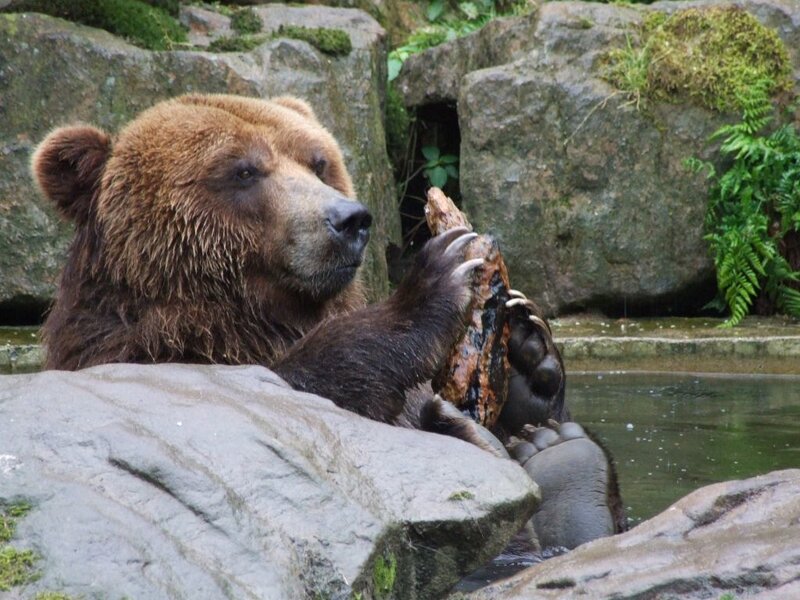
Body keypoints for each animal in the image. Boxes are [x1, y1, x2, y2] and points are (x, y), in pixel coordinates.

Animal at [32, 93, 623, 550]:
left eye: (317, 161)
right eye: (243, 170)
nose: (348, 218)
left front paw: (528, 357)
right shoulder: (141, 351)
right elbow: (311, 382)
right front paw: (438, 274)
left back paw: (558, 449)